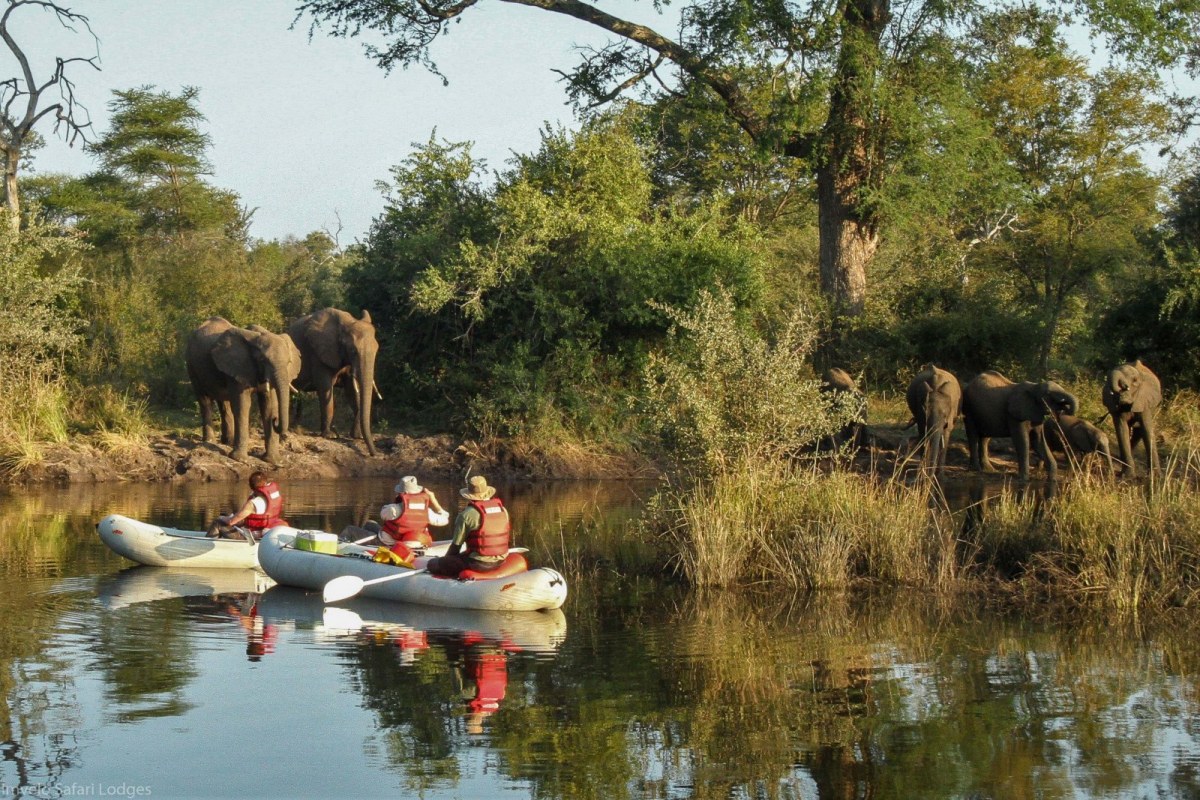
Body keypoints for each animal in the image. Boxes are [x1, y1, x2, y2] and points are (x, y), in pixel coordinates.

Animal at [186, 314, 304, 462]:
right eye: (262, 360)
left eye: (289, 362)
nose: (275, 421)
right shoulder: (239, 366)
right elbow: (243, 404)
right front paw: (239, 459)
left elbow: (269, 405)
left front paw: (272, 460)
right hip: (191, 364)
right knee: (204, 400)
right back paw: (209, 441)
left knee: (223, 403)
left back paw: (228, 442)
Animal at [288, 309, 376, 455]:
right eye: (353, 351)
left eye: (377, 350)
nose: (373, 453)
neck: (346, 322)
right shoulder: (318, 354)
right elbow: (325, 387)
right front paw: (331, 436)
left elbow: (351, 391)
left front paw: (356, 436)